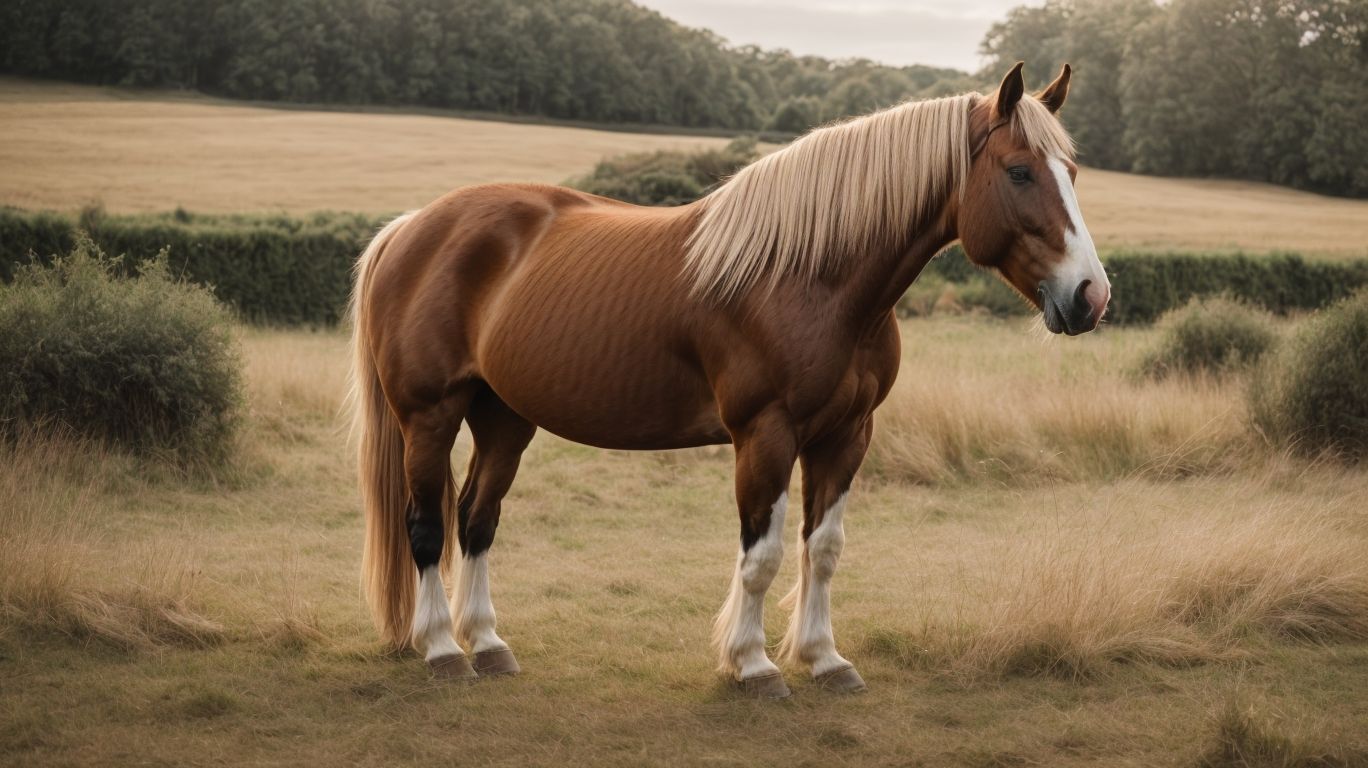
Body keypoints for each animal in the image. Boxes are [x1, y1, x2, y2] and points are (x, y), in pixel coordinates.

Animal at [347, 61, 1110, 698]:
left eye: (1072, 171)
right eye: (1019, 172)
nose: (1090, 296)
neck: (812, 277)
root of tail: (412, 226)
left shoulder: (847, 435)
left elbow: (822, 549)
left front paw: (824, 659)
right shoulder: (765, 434)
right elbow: (762, 554)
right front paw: (752, 665)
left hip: (504, 417)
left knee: (476, 519)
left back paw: (488, 643)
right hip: (430, 416)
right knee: (425, 526)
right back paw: (443, 649)